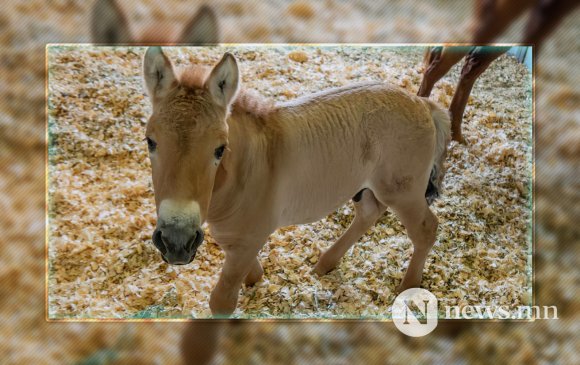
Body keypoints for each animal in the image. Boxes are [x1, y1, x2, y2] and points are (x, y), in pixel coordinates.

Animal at [143, 47, 450, 316]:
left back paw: (408, 288)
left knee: (425, 229)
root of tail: (423, 103)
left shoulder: (250, 238)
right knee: (369, 213)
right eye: (150, 141)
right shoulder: (233, 236)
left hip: (402, 192)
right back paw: (325, 263)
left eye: (220, 149)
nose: (176, 242)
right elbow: (248, 269)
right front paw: (256, 279)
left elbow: (222, 300)